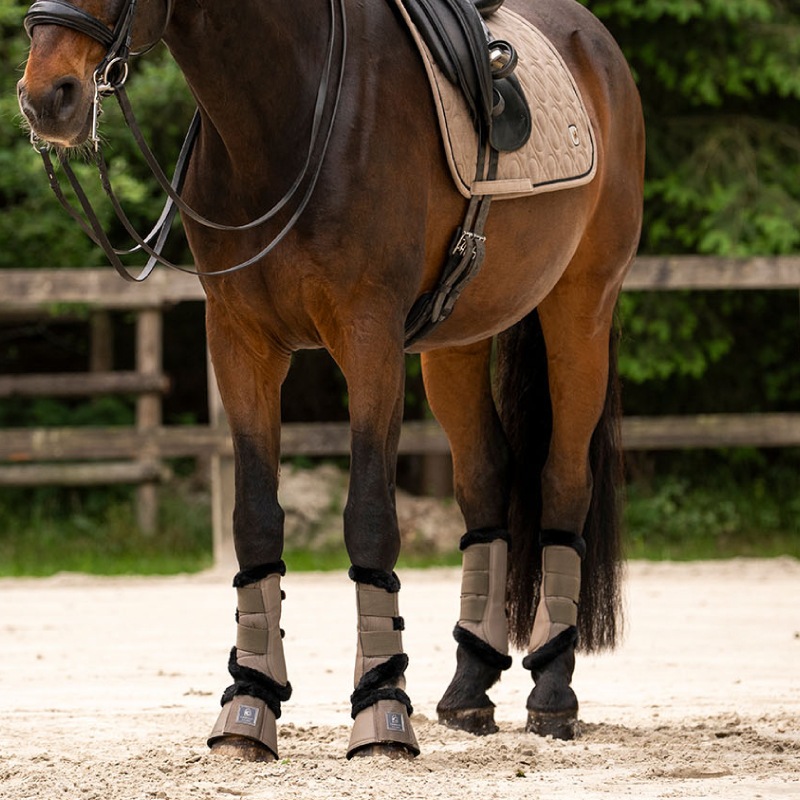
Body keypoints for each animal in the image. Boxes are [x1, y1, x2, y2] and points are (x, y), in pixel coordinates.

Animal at [17, 0, 644, 761]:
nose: (47, 97)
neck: (289, 107)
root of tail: (595, 41)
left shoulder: (368, 337)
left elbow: (370, 518)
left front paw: (382, 712)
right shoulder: (241, 342)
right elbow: (256, 520)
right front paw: (249, 705)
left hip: (580, 309)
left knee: (563, 481)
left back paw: (552, 692)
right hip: (456, 342)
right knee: (485, 480)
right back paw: (469, 687)